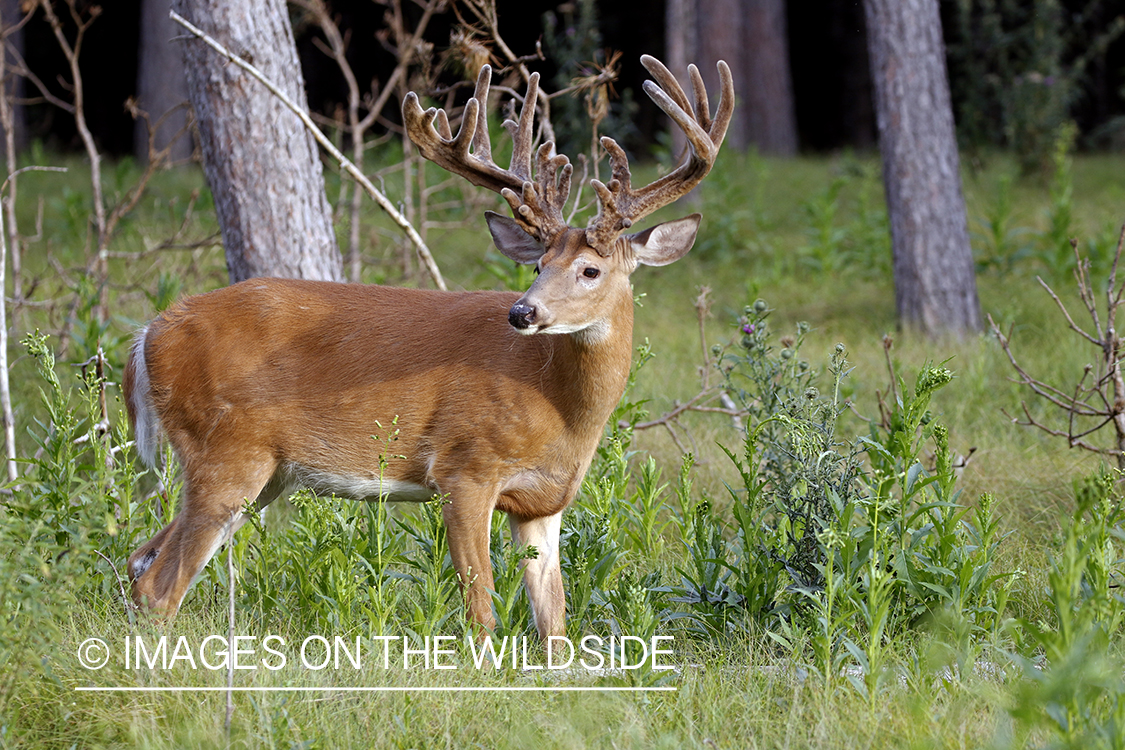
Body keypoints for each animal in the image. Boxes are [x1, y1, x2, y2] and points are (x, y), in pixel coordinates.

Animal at [125, 54, 738, 638]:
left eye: (590, 270)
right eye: (538, 264)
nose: (522, 312)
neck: (558, 408)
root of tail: (150, 331)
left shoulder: (543, 502)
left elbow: (555, 624)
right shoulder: (463, 467)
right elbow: (481, 609)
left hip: (263, 471)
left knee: (140, 560)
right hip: (228, 451)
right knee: (159, 585)